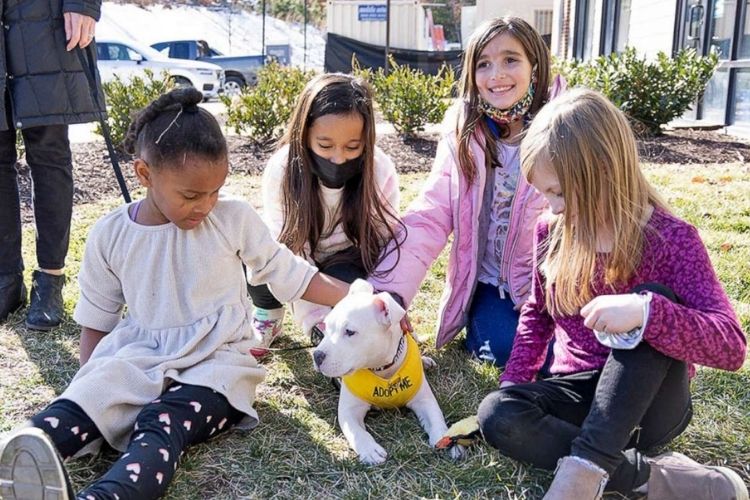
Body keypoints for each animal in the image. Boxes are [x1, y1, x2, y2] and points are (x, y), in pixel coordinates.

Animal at [312, 278, 464, 464]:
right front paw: (369, 450)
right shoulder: (349, 411)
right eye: (325, 327)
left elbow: (436, 418)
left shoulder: (425, 400)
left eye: (350, 332)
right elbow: (357, 432)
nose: (317, 355)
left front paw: (446, 439)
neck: (381, 368)